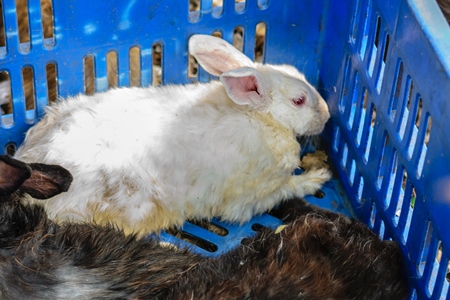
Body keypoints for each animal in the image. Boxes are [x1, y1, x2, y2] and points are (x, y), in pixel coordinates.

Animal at [15, 35, 330, 236]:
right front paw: (318, 177)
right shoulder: (255, 198)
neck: (260, 118)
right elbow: (290, 188)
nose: (328, 116)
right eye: (299, 101)